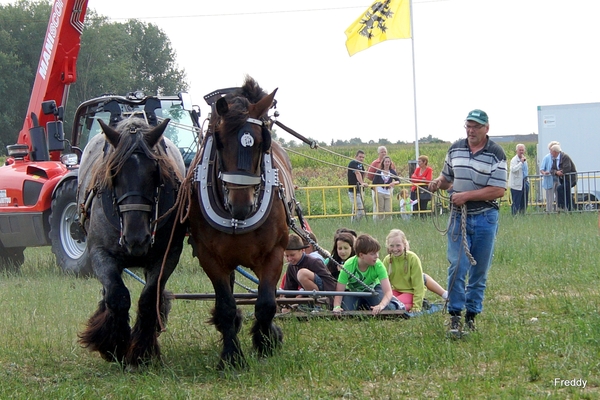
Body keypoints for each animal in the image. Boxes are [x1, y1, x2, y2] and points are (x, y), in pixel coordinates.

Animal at [186, 77, 292, 368]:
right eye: (219, 142)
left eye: (261, 143)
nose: (241, 206)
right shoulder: (210, 257)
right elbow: (226, 305)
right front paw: (231, 355)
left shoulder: (274, 253)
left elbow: (266, 303)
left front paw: (266, 342)